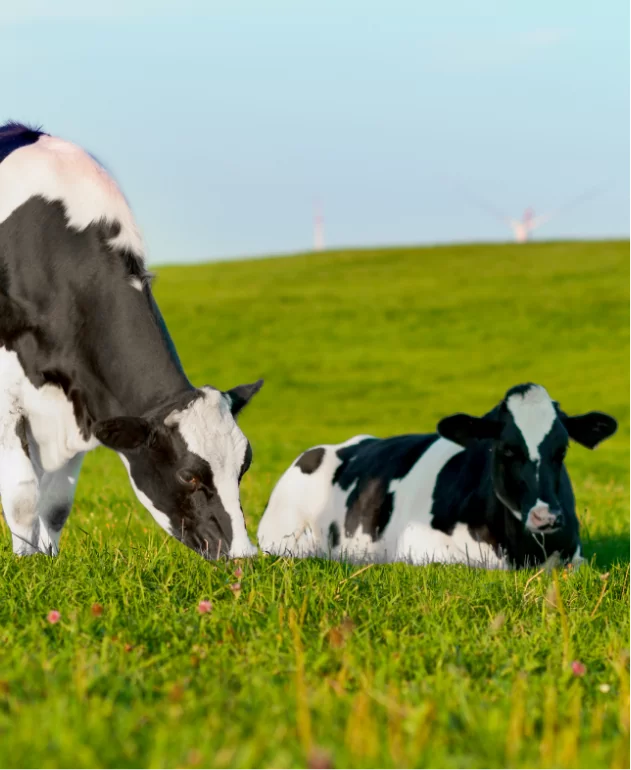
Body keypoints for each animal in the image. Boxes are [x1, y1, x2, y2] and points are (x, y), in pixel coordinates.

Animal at [0, 121, 262, 560]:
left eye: (244, 466)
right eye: (189, 476)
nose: (244, 555)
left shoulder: (80, 399)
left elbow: (55, 503)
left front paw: (48, 563)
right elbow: (22, 496)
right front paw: (25, 564)